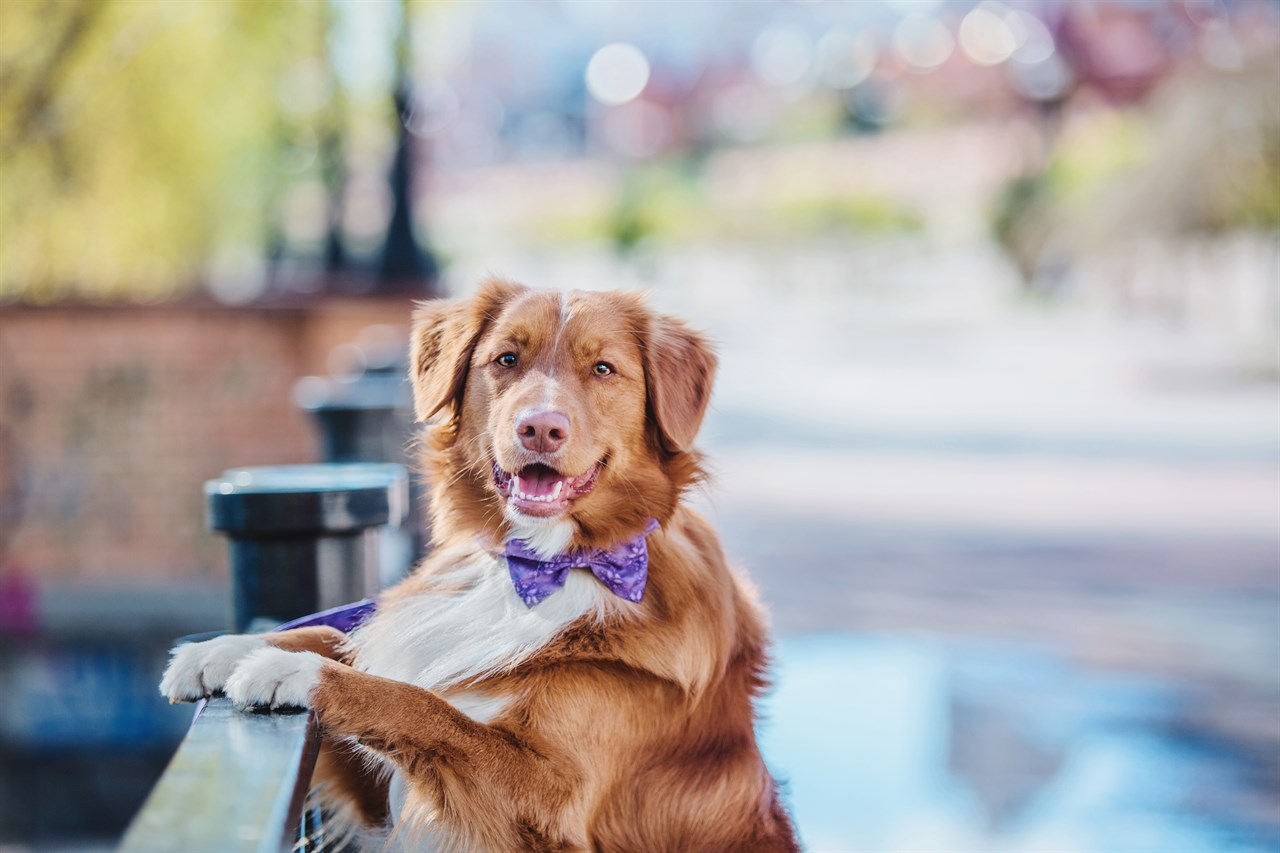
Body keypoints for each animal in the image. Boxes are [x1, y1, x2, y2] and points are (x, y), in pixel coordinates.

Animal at [162, 280, 798, 850]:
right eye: (507, 359)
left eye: (603, 369)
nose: (540, 427)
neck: (538, 564)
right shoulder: (376, 805)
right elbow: (340, 637)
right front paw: (221, 651)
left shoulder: (548, 802)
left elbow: (422, 705)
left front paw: (294, 673)